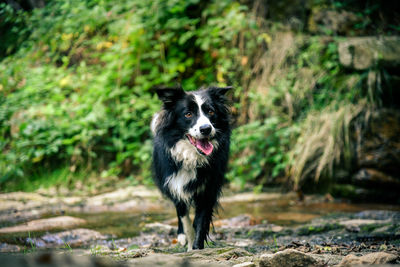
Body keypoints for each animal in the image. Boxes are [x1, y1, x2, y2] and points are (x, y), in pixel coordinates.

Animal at [150, 86, 231, 251]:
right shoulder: (175, 183)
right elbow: (185, 220)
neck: (191, 157)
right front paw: (188, 245)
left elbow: (200, 221)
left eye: (211, 112)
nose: (206, 129)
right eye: (188, 114)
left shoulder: (209, 187)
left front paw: (197, 248)